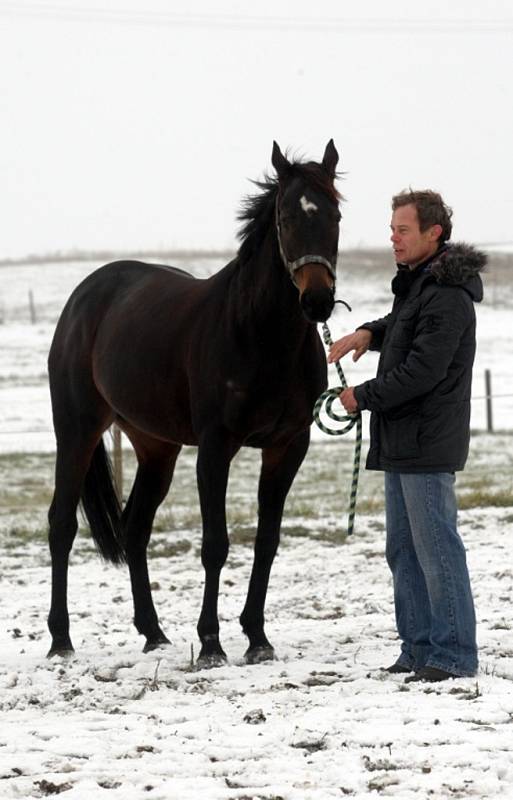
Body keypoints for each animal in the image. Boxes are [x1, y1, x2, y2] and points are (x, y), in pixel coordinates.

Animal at [48, 141, 340, 664]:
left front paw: (257, 638)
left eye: (336, 215)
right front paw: (210, 644)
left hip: (156, 449)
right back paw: (61, 640)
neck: (260, 334)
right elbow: (215, 544)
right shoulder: (216, 447)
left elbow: (266, 541)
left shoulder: (288, 446)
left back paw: (153, 633)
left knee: (135, 528)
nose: (318, 302)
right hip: (77, 431)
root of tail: (85, 297)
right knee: (62, 525)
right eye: (287, 217)